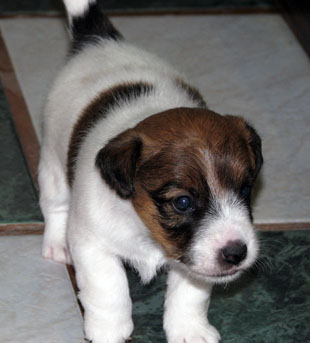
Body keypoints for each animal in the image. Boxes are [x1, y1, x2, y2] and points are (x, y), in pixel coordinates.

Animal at [38, 0, 262, 343]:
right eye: (182, 202)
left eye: (245, 189)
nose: (236, 252)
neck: (143, 228)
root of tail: (101, 41)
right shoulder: (91, 245)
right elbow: (108, 290)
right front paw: (108, 331)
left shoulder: (190, 257)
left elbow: (190, 294)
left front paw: (189, 329)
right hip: (52, 162)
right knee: (54, 203)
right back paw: (55, 243)